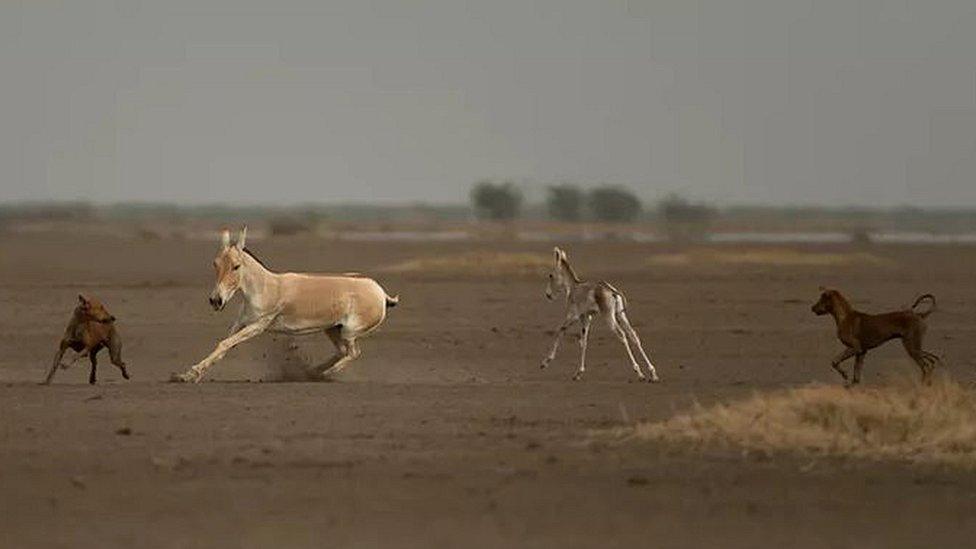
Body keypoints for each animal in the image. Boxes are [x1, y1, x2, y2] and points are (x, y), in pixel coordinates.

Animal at [170, 226, 398, 382]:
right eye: (215, 263)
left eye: (236, 266)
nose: (216, 300)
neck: (262, 289)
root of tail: (380, 292)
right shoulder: (241, 323)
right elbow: (223, 346)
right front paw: (188, 374)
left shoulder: (258, 325)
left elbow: (224, 344)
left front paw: (192, 373)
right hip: (333, 329)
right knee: (342, 352)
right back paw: (312, 372)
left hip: (349, 331)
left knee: (353, 353)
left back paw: (323, 375)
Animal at [536, 247, 660, 382]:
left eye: (550, 275)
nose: (548, 295)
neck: (573, 287)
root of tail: (612, 291)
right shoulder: (586, 318)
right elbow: (583, 341)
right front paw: (578, 372)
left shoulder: (573, 316)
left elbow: (560, 330)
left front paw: (545, 362)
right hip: (621, 315)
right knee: (633, 335)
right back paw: (653, 373)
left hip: (609, 317)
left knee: (622, 335)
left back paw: (639, 372)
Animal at [808, 286, 936, 386]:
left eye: (821, 300)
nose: (812, 308)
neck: (844, 317)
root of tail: (919, 315)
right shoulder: (861, 352)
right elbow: (856, 374)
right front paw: (852, 385)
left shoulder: (855, 348)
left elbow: (834, 361)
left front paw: (845, 375)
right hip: (914, 346)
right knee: (931, 359)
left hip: (911, 346)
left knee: (925, 365)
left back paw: (922, 384)